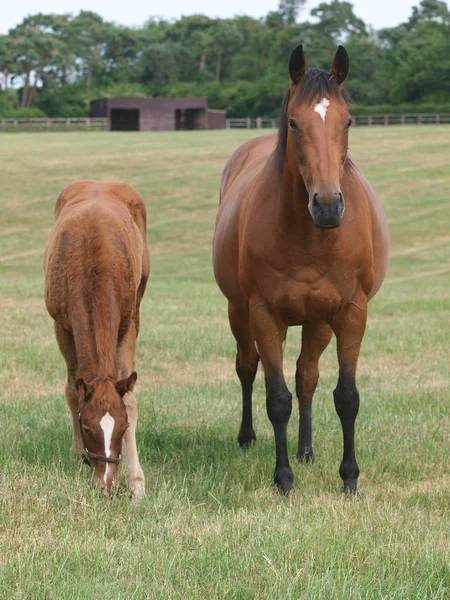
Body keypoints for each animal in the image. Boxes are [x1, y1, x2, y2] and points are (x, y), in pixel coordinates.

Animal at [43, 178, 149, 496]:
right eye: (88, 428)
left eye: (123, 427)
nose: (106, 486)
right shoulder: (61, 326)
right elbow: (71, 390)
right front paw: (77, 453)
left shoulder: (128, 323)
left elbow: (130, 399)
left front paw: (136, 481)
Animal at [213, 47, 388, 494]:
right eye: (294, 122)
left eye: (347, 121)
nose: (327, 206)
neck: (311, 238)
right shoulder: (263, 314)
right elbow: (277, 399)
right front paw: (283, 479)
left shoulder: (350, 312)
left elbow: (346, 396)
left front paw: (349, 478)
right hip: (238, 312)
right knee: (247, 366)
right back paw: (247, 437)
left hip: (317, 321)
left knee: (307, 375)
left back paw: (306, 449)